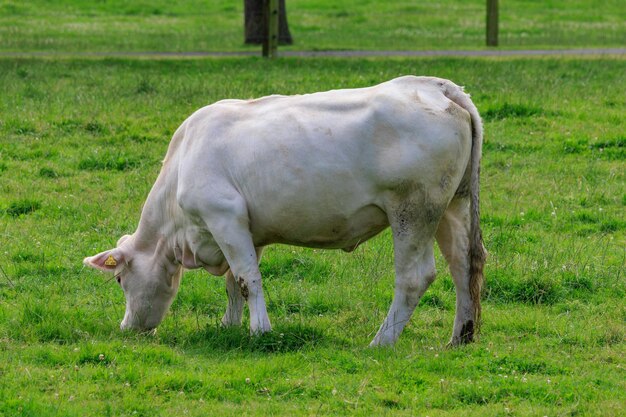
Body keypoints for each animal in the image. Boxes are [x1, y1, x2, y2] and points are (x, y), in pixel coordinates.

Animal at [83, 75, 486, 344]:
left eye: (119, 279)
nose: (127, 328)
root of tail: (436, 86)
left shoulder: (224, 216)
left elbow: (247, 280)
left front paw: (260, 331)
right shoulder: (248, 229)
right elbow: (234, 283)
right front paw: (229, 326)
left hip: (413, 211)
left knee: (415, 277)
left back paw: (381, 341)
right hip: (452, 206)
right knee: (464, 265)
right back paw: (460, 337)